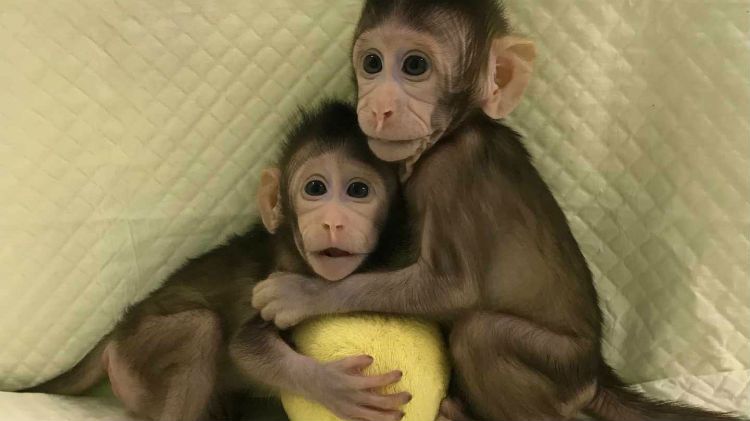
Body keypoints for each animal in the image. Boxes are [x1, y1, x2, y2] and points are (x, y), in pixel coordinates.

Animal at [26, 100, 413, 421]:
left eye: (358, 190)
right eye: (315, 189)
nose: (333, 222)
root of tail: (118, 332)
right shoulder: (275, 277)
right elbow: (245, 347)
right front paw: (332, 386)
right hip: (137, 351)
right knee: (201, 328)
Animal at [251, 2, 747, 421]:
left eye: (415, 66)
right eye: (372, 63)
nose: (378, 107)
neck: (457, 130)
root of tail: (594, 374)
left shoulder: (450, 172)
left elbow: (453, 288)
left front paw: (303, 293)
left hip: (558, 366)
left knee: (481, 335)